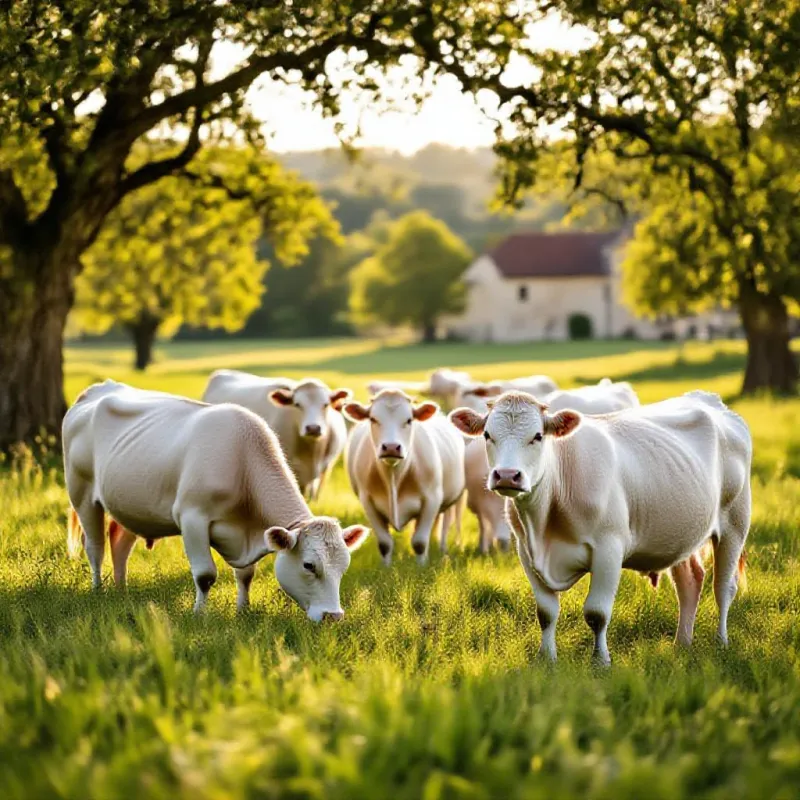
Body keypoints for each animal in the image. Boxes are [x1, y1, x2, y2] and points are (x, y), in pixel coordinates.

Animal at [344, 389, 466, 565]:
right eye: (373, 419)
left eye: (409, 420)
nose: (391, 447)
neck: (393, 476)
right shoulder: (367, 501)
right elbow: (385, 543)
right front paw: (386, 567)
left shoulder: (432, 499)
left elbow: (420, 542)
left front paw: (421, 566)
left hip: (453, 499)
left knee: (446, 523)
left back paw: (442, 549)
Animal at [449, 390, 751, 664]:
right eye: (487, 435)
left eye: (537, 436)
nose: (507, 475)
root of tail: (710, 400)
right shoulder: (526, 552)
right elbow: (546, 612)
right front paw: (546, 658)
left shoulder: (609, 549)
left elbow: (596, 613)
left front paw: (601, 660)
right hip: (681, 533)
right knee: (690, 582)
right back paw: (682, 643)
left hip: (735, 524)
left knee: (723, 588)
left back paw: (721, 642)